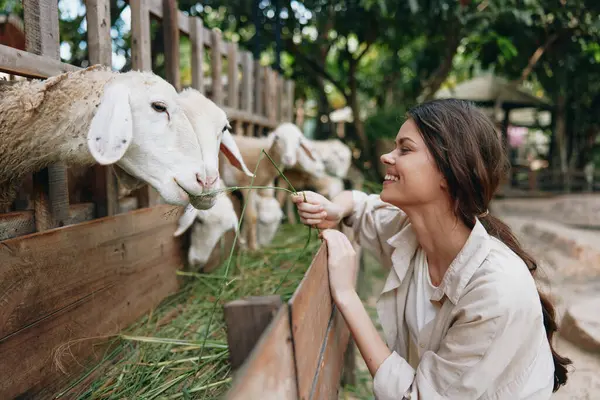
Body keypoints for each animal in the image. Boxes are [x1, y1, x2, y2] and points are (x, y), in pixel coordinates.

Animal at [218, 122, 316, 250]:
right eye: (277, 137)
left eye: (299, 141)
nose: (288, 159)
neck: (266, 161)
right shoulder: (248, 185)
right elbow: (252, 216)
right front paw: (252, 247)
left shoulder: (266, 185)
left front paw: (245, 243)